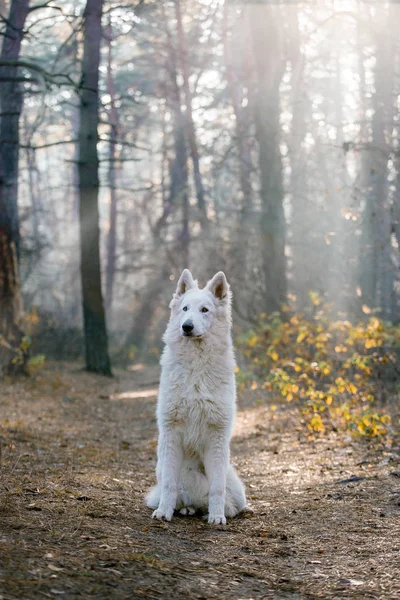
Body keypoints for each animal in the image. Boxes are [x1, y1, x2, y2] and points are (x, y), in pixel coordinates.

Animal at [145, 270, 248, 524]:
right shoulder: (171, 433)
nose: (187, 326)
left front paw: (217, 516)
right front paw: (164, 512)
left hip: (236, 486)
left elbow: (217, 487)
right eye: (185, 308)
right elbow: (170, 484)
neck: (196, 365)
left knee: (230, 501)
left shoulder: (217, 437)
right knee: (182, 495)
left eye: (204, 310)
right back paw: (186, 509)